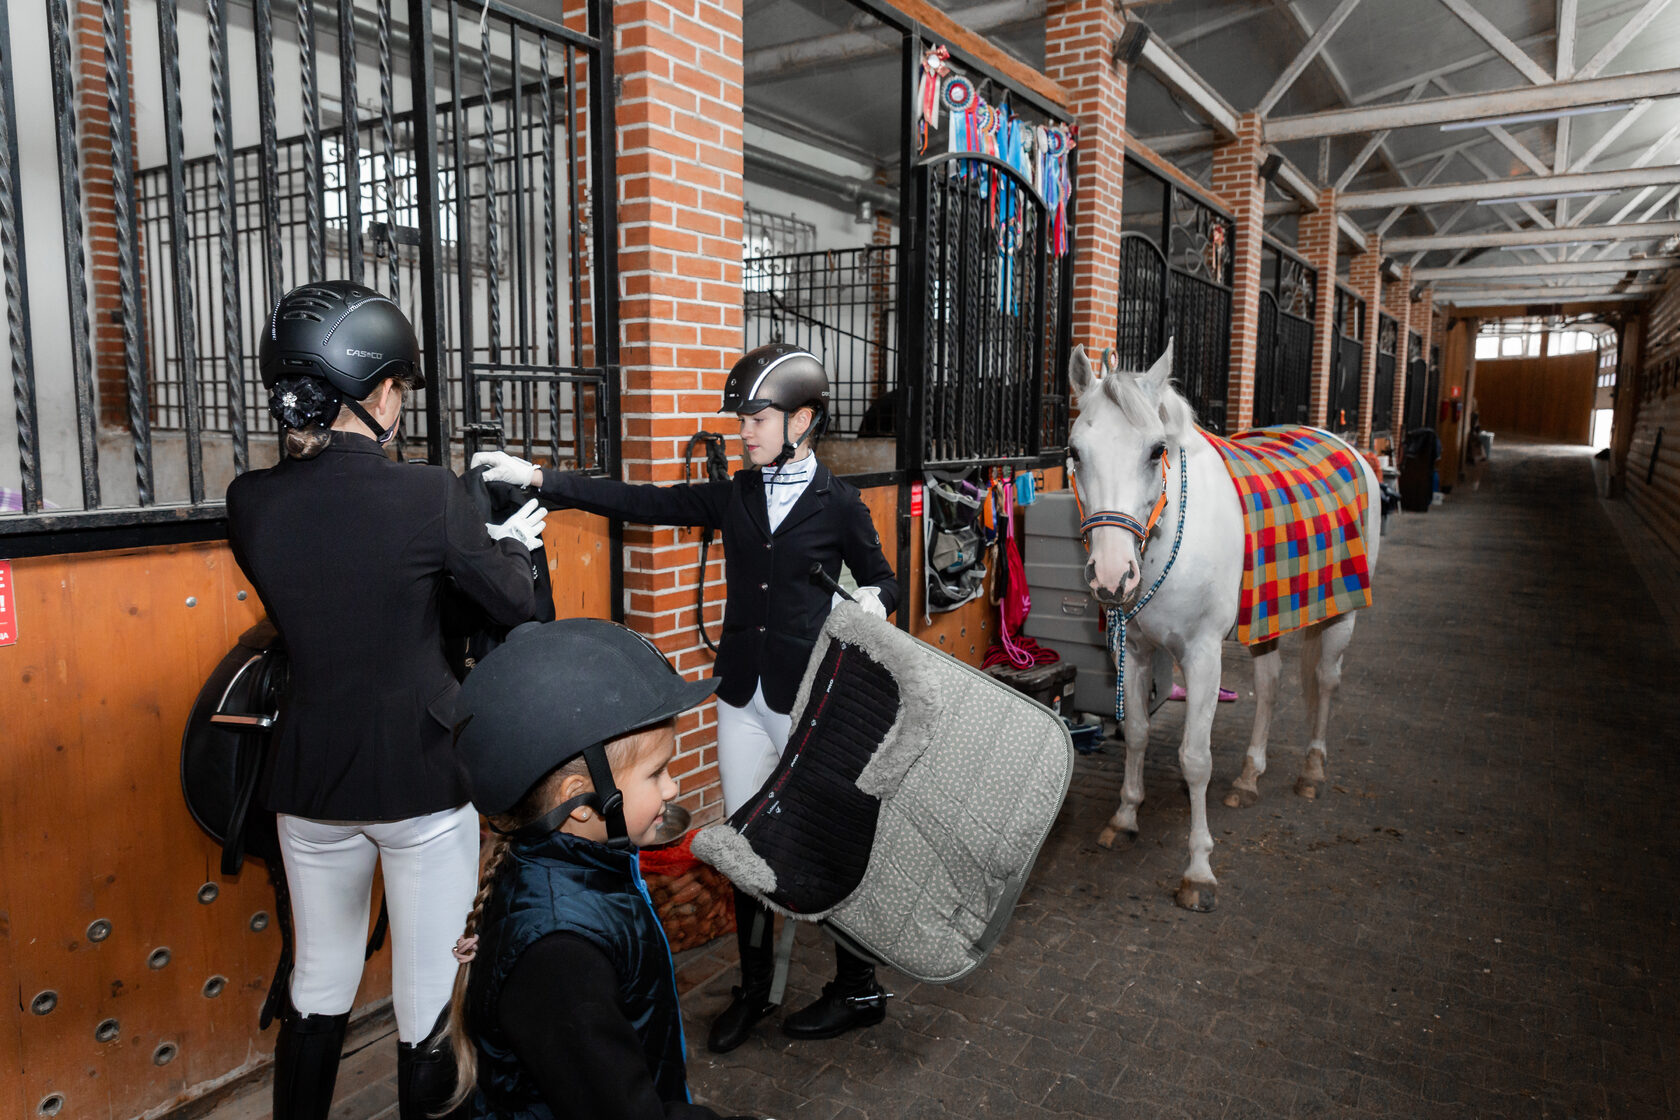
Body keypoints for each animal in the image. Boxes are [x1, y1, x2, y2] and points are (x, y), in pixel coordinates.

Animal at [1068, 342, 1384, 913]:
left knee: (1326, 682)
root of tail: (1343, 444)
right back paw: (1249, 778)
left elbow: (1195, 758)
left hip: (1341, 613)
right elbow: (1138, 735)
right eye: (1076, 452)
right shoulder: (1137, 650)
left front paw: (1198, 871)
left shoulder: (1202, 655)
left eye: (1156, 451)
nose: (1112, 576)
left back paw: (1311, 771)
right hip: (1265, 619)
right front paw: (1124, 818)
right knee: (1270, 685)